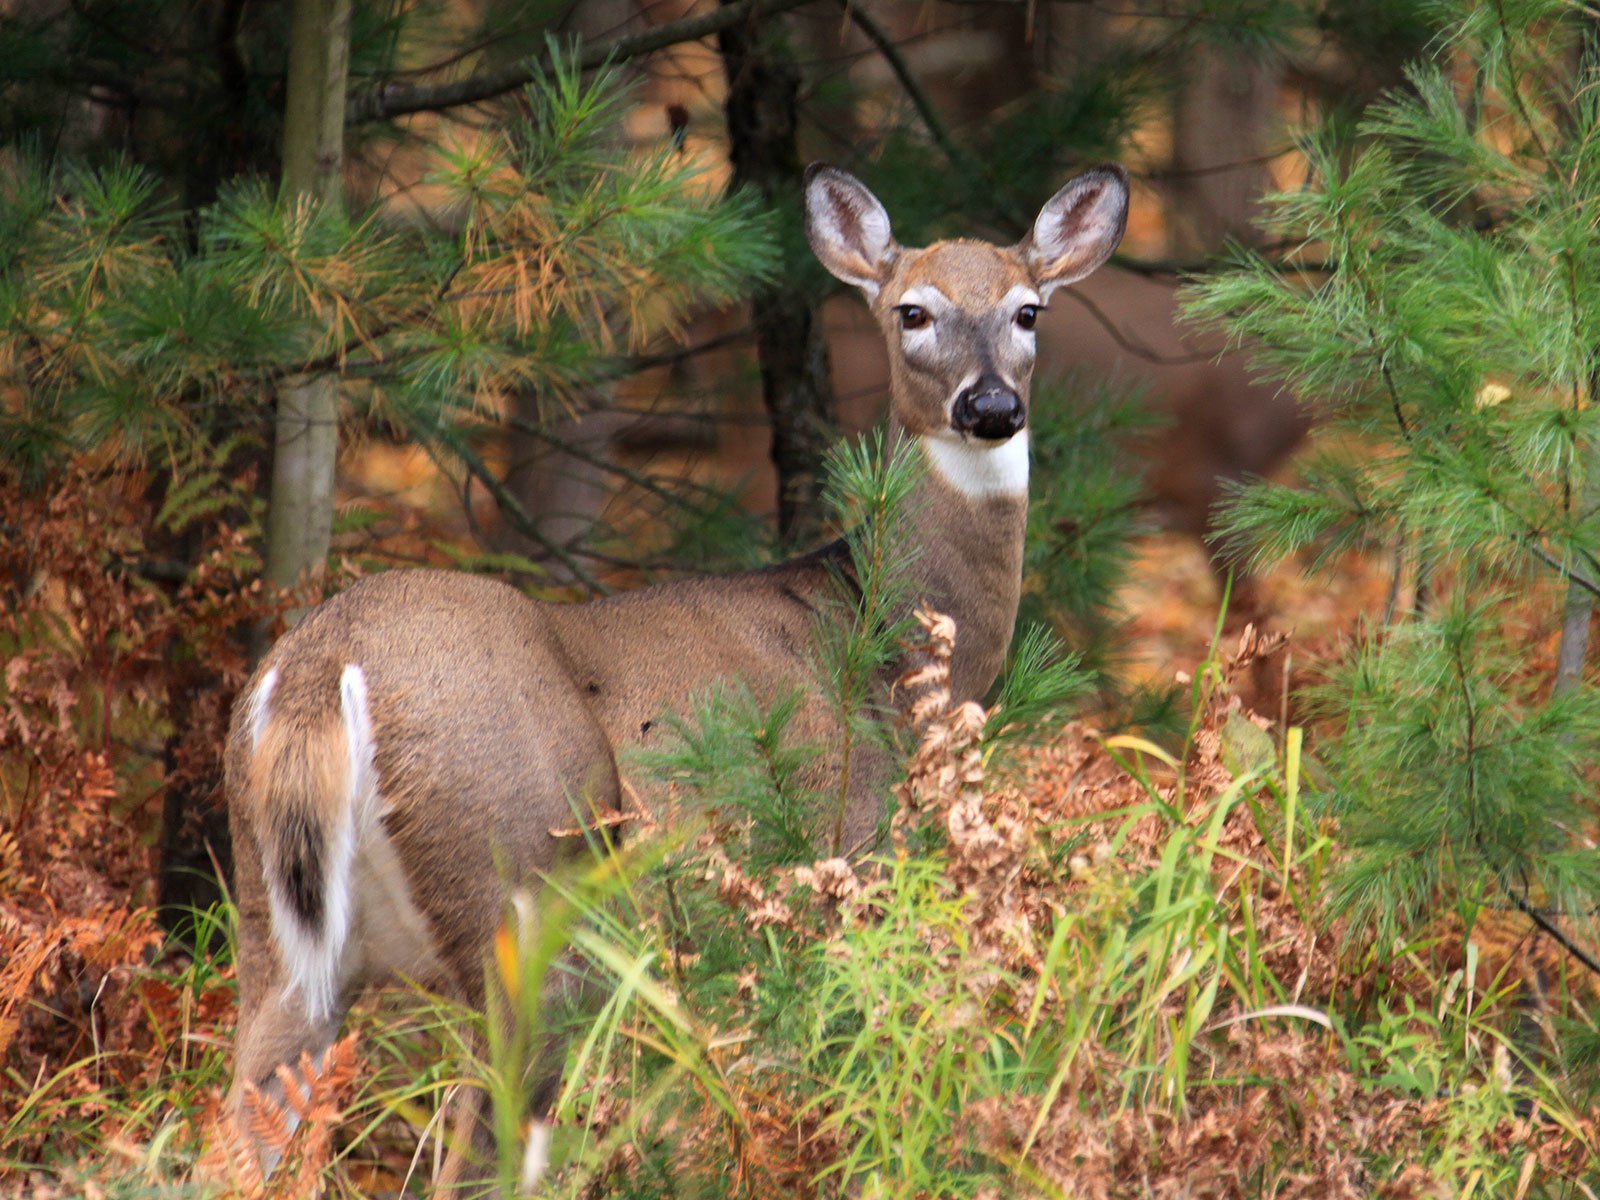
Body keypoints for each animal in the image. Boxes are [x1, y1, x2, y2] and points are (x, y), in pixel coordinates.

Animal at [219, 160, 1132, 1184]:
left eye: (1027, 311)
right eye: (913, 312)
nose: (990, 408)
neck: (887, 636)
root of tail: (319, 667)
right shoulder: (844, 853)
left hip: (276, 935)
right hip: (521, 889)